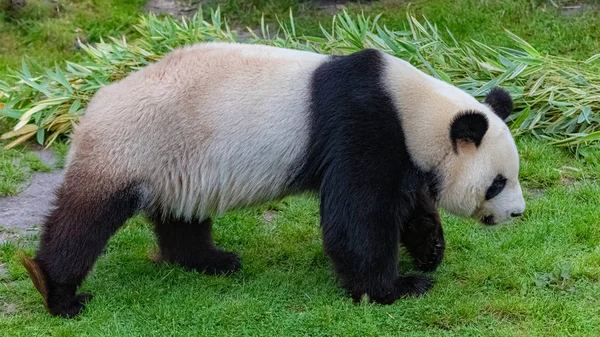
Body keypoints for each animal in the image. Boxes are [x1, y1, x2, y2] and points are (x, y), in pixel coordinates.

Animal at [19, 41, 524, 316]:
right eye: (498, 183)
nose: (518, 213)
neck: (414, 109)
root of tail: (91, 106)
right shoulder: (362, 126)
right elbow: (357, 216)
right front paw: (396, 288)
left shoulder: (399, 147)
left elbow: (408, 201)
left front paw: (430, 250)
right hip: (132, 146)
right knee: (85, 219)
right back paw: (58, 292)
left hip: (177, 162)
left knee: (181, 214)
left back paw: (212, 260)